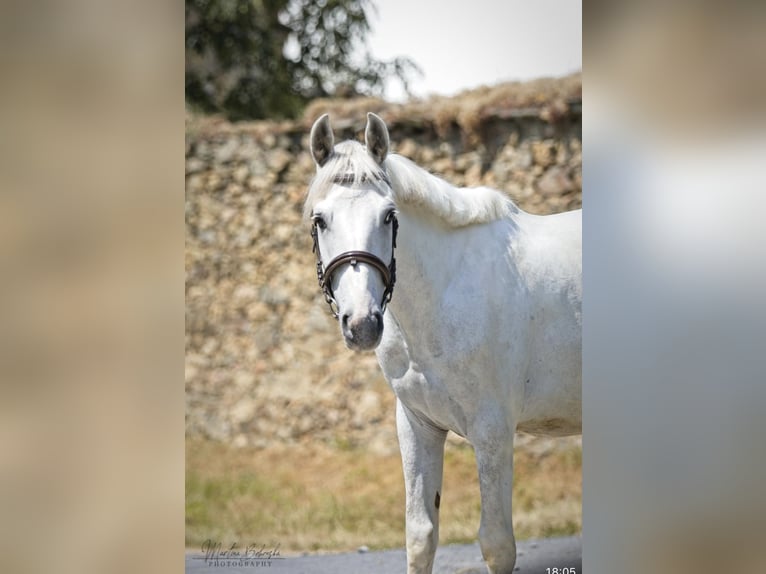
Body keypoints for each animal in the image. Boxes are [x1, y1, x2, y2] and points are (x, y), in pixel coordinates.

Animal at [306, 113, 584, 574]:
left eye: (388, 216)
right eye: (320, 220)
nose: (362, 324)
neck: (446, 291)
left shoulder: (493, 430)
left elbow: (497, 543)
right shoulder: (418, 426)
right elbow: (420, 536)